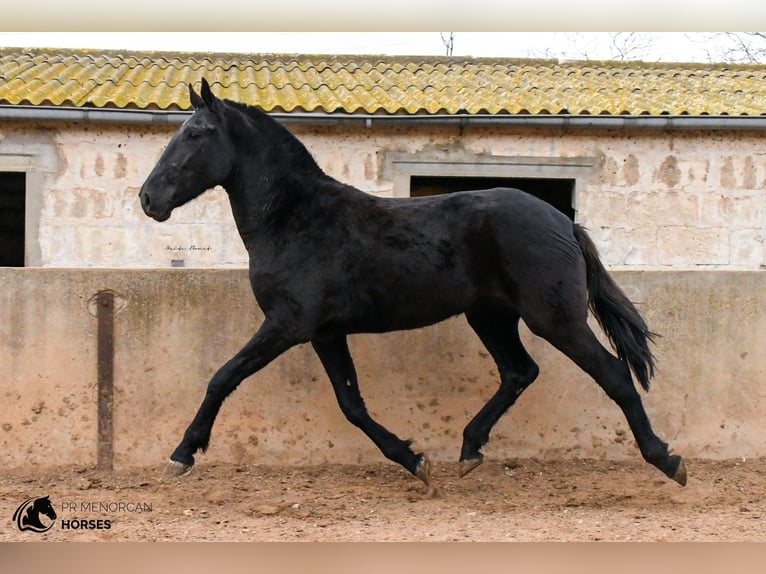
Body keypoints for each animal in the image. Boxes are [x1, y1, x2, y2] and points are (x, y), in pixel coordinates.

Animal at [140, 80, 688, 496]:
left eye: (196, 132)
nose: (148, 199)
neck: (295, 218)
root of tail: (562, 221)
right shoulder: (324, 332)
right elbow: (352, 405)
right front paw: (415, 460)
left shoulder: (288, 324)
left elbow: (222, 377)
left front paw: (182, 454)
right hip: (490, 316)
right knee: (519, 371)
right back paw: (469, 450)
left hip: (554, 318)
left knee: (613, 375)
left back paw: (667, 460)